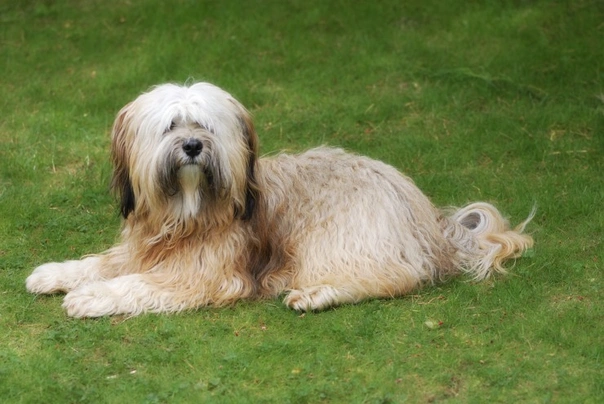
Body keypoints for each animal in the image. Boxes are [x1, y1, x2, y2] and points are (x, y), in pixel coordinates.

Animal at [24, 82, 532, 318]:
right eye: (171, 126)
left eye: (206, 126)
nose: (193, 147)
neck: (187, 213)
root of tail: (429, 220)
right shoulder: (143, 248)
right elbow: (103, 263)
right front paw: (55, 274)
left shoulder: (207, 274)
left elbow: (138, 284)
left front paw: (91, 297)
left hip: (341, 236)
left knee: (394, 276)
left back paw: (315, 293)